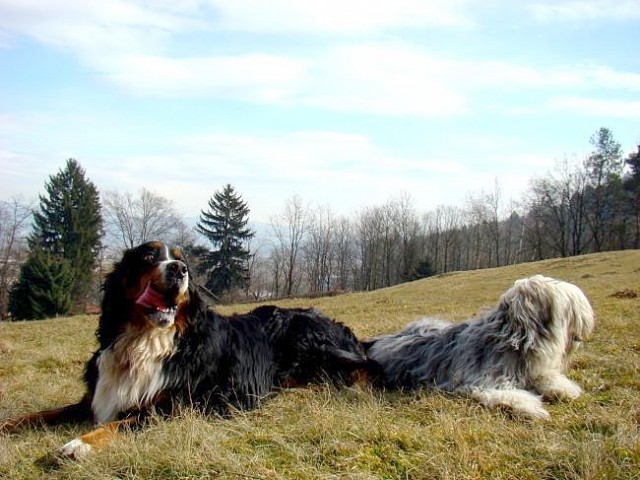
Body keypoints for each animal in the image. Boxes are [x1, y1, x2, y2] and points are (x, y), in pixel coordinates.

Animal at [1, 240, 376, 458]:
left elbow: (125, 421)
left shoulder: (185, 403)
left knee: (362, 369)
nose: (178, 270)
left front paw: (82, 443)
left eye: (185, 263)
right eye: (148, 255)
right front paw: (8, 424)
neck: (146, 341)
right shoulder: (95, 396)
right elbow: (39, 415)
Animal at [364, 276, 596, 418]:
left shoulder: (531, 371)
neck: (513, 341)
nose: (583, 330)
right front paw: (533, 408)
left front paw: (564, 389)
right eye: (570, 308)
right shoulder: (480, 381)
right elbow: (509, 395)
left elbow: (547, 378)